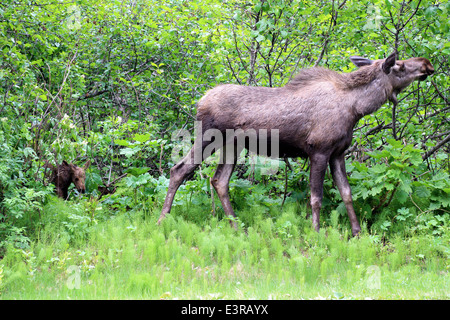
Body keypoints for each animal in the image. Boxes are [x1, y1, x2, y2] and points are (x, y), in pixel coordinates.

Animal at [157, 50, 432, 235]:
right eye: (400, 66)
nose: (427, 64)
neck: (356, 109)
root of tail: (199, 102)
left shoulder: (338, 153)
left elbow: (347, 193)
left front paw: (357, 233)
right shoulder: (319, 151)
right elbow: (316, 198)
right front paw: (317, 232)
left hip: (233, 146)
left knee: (219, 181)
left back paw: (238, 227)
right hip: (207, 137)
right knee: (179, 169)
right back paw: (162, 221)